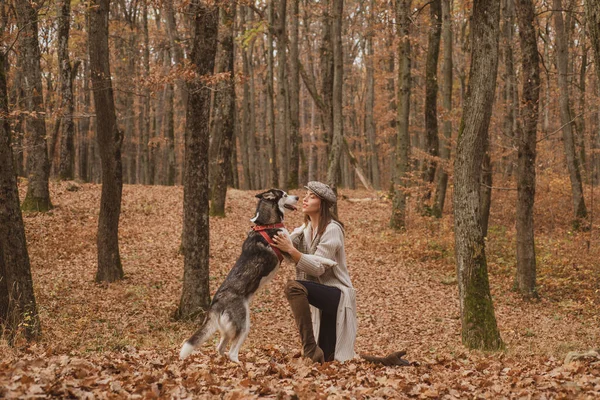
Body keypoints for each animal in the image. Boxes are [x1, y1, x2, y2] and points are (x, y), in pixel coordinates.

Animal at [179, 188, 298, 362]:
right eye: (284, 195)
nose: (298, 197)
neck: (266, 224)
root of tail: (215, 304)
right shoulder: (288, 251)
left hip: (230, 329)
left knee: (220, 348)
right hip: (244, 325)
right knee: (232, 352)